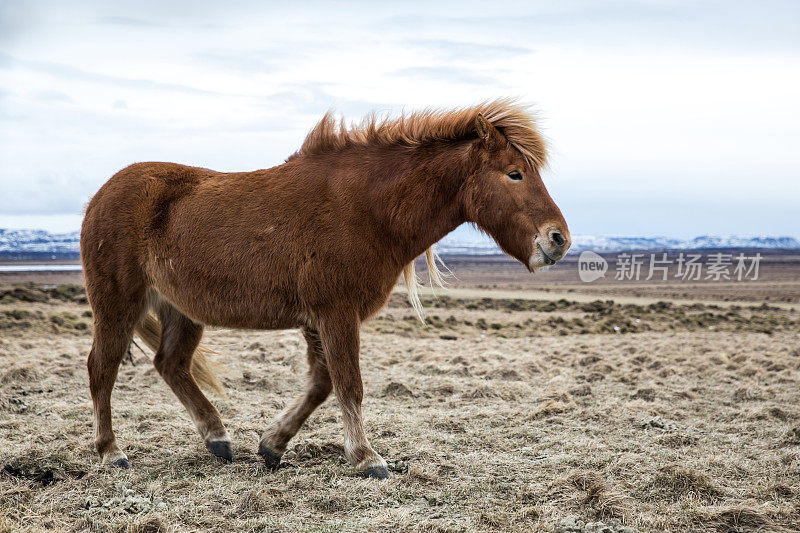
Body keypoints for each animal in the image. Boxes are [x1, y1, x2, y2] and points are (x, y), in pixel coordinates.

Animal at [79, 98, 568, 478]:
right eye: (514, 174)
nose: (558, 239)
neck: (368, 208)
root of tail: (100, 195)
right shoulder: (336, 314)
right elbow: (348, 383)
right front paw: (367, 458)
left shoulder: (318, 320)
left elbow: (321, 383)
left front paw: (273, 445)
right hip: (118, 303)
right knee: (102, 368)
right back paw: (112, 453)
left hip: (181, 310)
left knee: (171, 364)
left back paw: (217, 437)